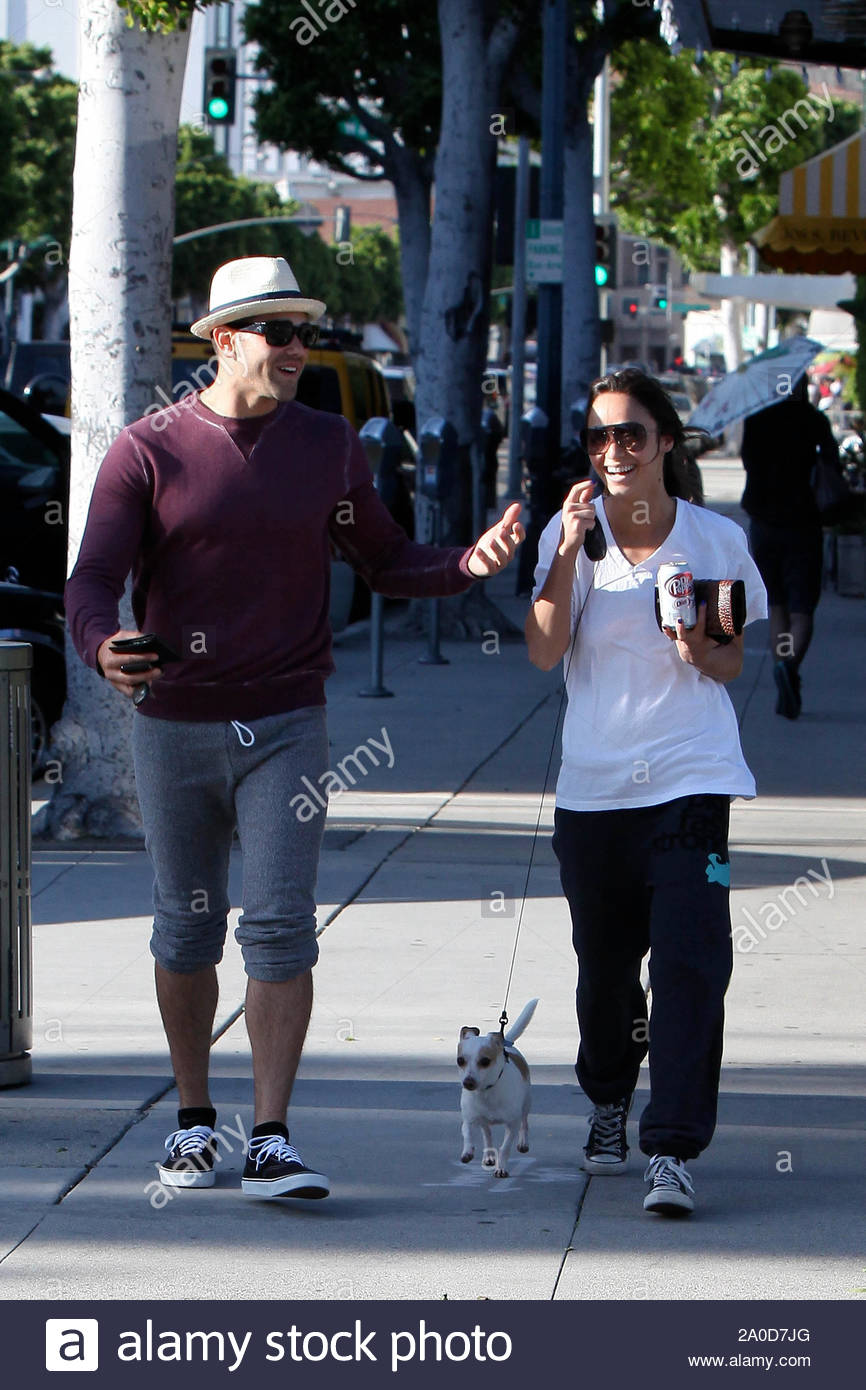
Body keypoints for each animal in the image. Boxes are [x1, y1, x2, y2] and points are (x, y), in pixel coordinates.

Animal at [458, 995, 539, 1178]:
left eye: (485, 1061)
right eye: (460, 1060)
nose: (467, 1082)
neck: (487, 1092)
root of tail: (506, 1043)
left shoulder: (512, 1124)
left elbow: (505, 1148)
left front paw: (501, 1168)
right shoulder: (469, 1118)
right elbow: (467, 1133)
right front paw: (467, 1151)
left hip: (526, 1103)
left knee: (525, 1123)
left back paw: (523, 1143)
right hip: (483, 1121)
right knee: (487, 1135)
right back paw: (488, 1155)